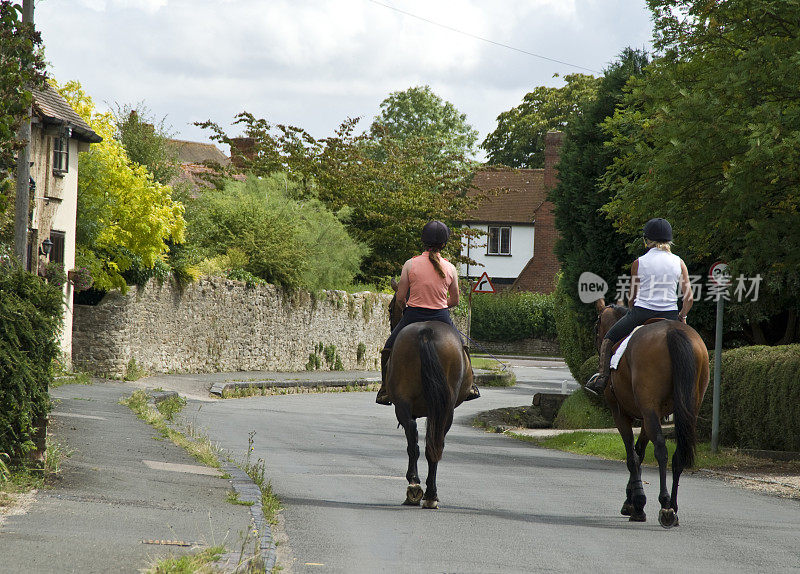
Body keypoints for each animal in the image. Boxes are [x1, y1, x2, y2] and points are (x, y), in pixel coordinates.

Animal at [386, 286, 476, 510]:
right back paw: (427, 493)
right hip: (443, 409)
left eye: (390, 308)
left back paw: (417, 486)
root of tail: (426, 333)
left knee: (416, 438)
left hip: (407, 403)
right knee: (432, 442)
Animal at [592, 300, 708, 528]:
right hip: (688, 407)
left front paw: (636, 504)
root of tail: (672, 331)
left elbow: (632, 456)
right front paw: (632, 501)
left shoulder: (621, 413)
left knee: (661, 450)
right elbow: (640, 451)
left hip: (647, 407)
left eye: (597, 326)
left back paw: (665, 507)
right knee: (677, 453)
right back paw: (674, 507)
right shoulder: (650, 415)